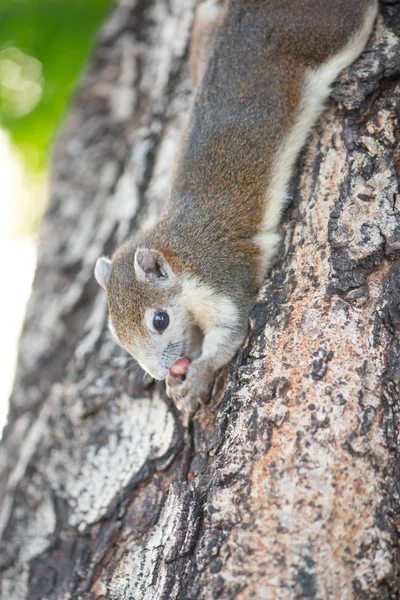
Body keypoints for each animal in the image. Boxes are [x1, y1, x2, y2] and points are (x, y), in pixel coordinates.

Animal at [95, 0, 376, 420]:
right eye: (115, 331)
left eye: (159, 320)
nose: (160, 373)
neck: (180, 251)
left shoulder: (222, 277)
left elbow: (230, 334)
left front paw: (194, 379)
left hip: (325, 31)